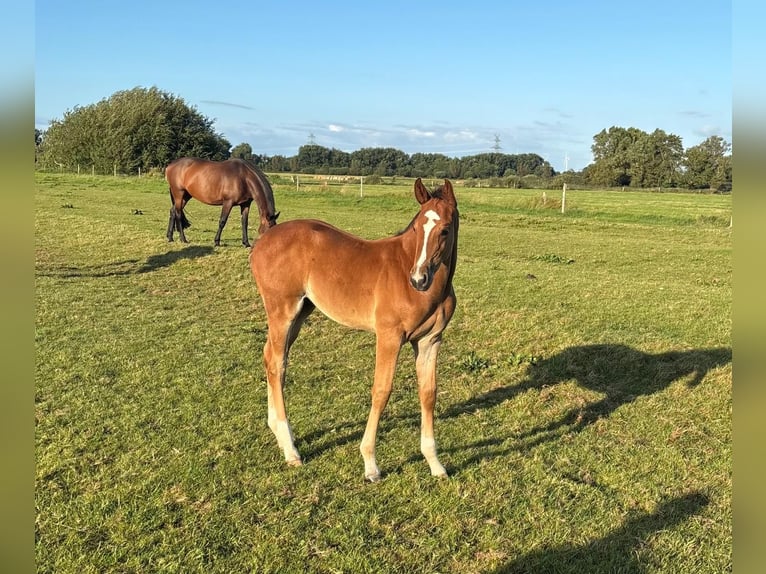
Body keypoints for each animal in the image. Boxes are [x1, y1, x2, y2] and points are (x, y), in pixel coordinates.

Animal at [250, 178, 459, 481]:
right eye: (417, 227)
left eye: (444, 229)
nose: (419, 279)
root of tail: (263, 239)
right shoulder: (389, 337)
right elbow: (381, 391)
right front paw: (370, 464)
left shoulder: (430, 340)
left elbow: (429, 393)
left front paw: (435, 464)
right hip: (282, 310)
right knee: (277, 364)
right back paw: (291, 450)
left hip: (301, 312)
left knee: (271, 358)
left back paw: (277, 431)